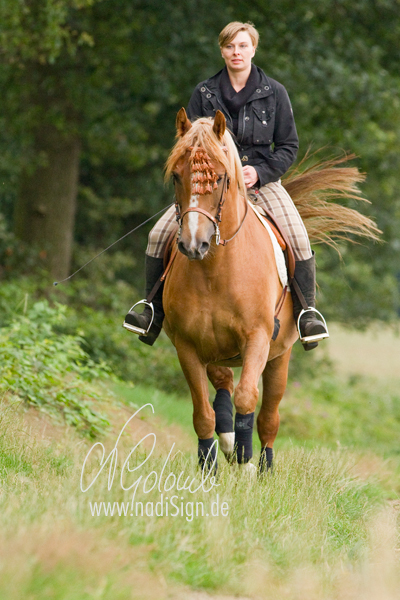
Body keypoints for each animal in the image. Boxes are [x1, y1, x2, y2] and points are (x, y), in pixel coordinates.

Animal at [162, 106, 378, 474]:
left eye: (221, 177)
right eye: (177, 176)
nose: (193, 244)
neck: (214, 271)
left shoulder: (258, 339)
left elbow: (248, 398)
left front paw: (246, 462)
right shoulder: (187, 347)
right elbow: (202, 413)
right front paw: (209, 466)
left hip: (280, 358)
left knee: (268, 417)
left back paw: (261, 464)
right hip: (214, 351)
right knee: (223, 383)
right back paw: (228, 442)